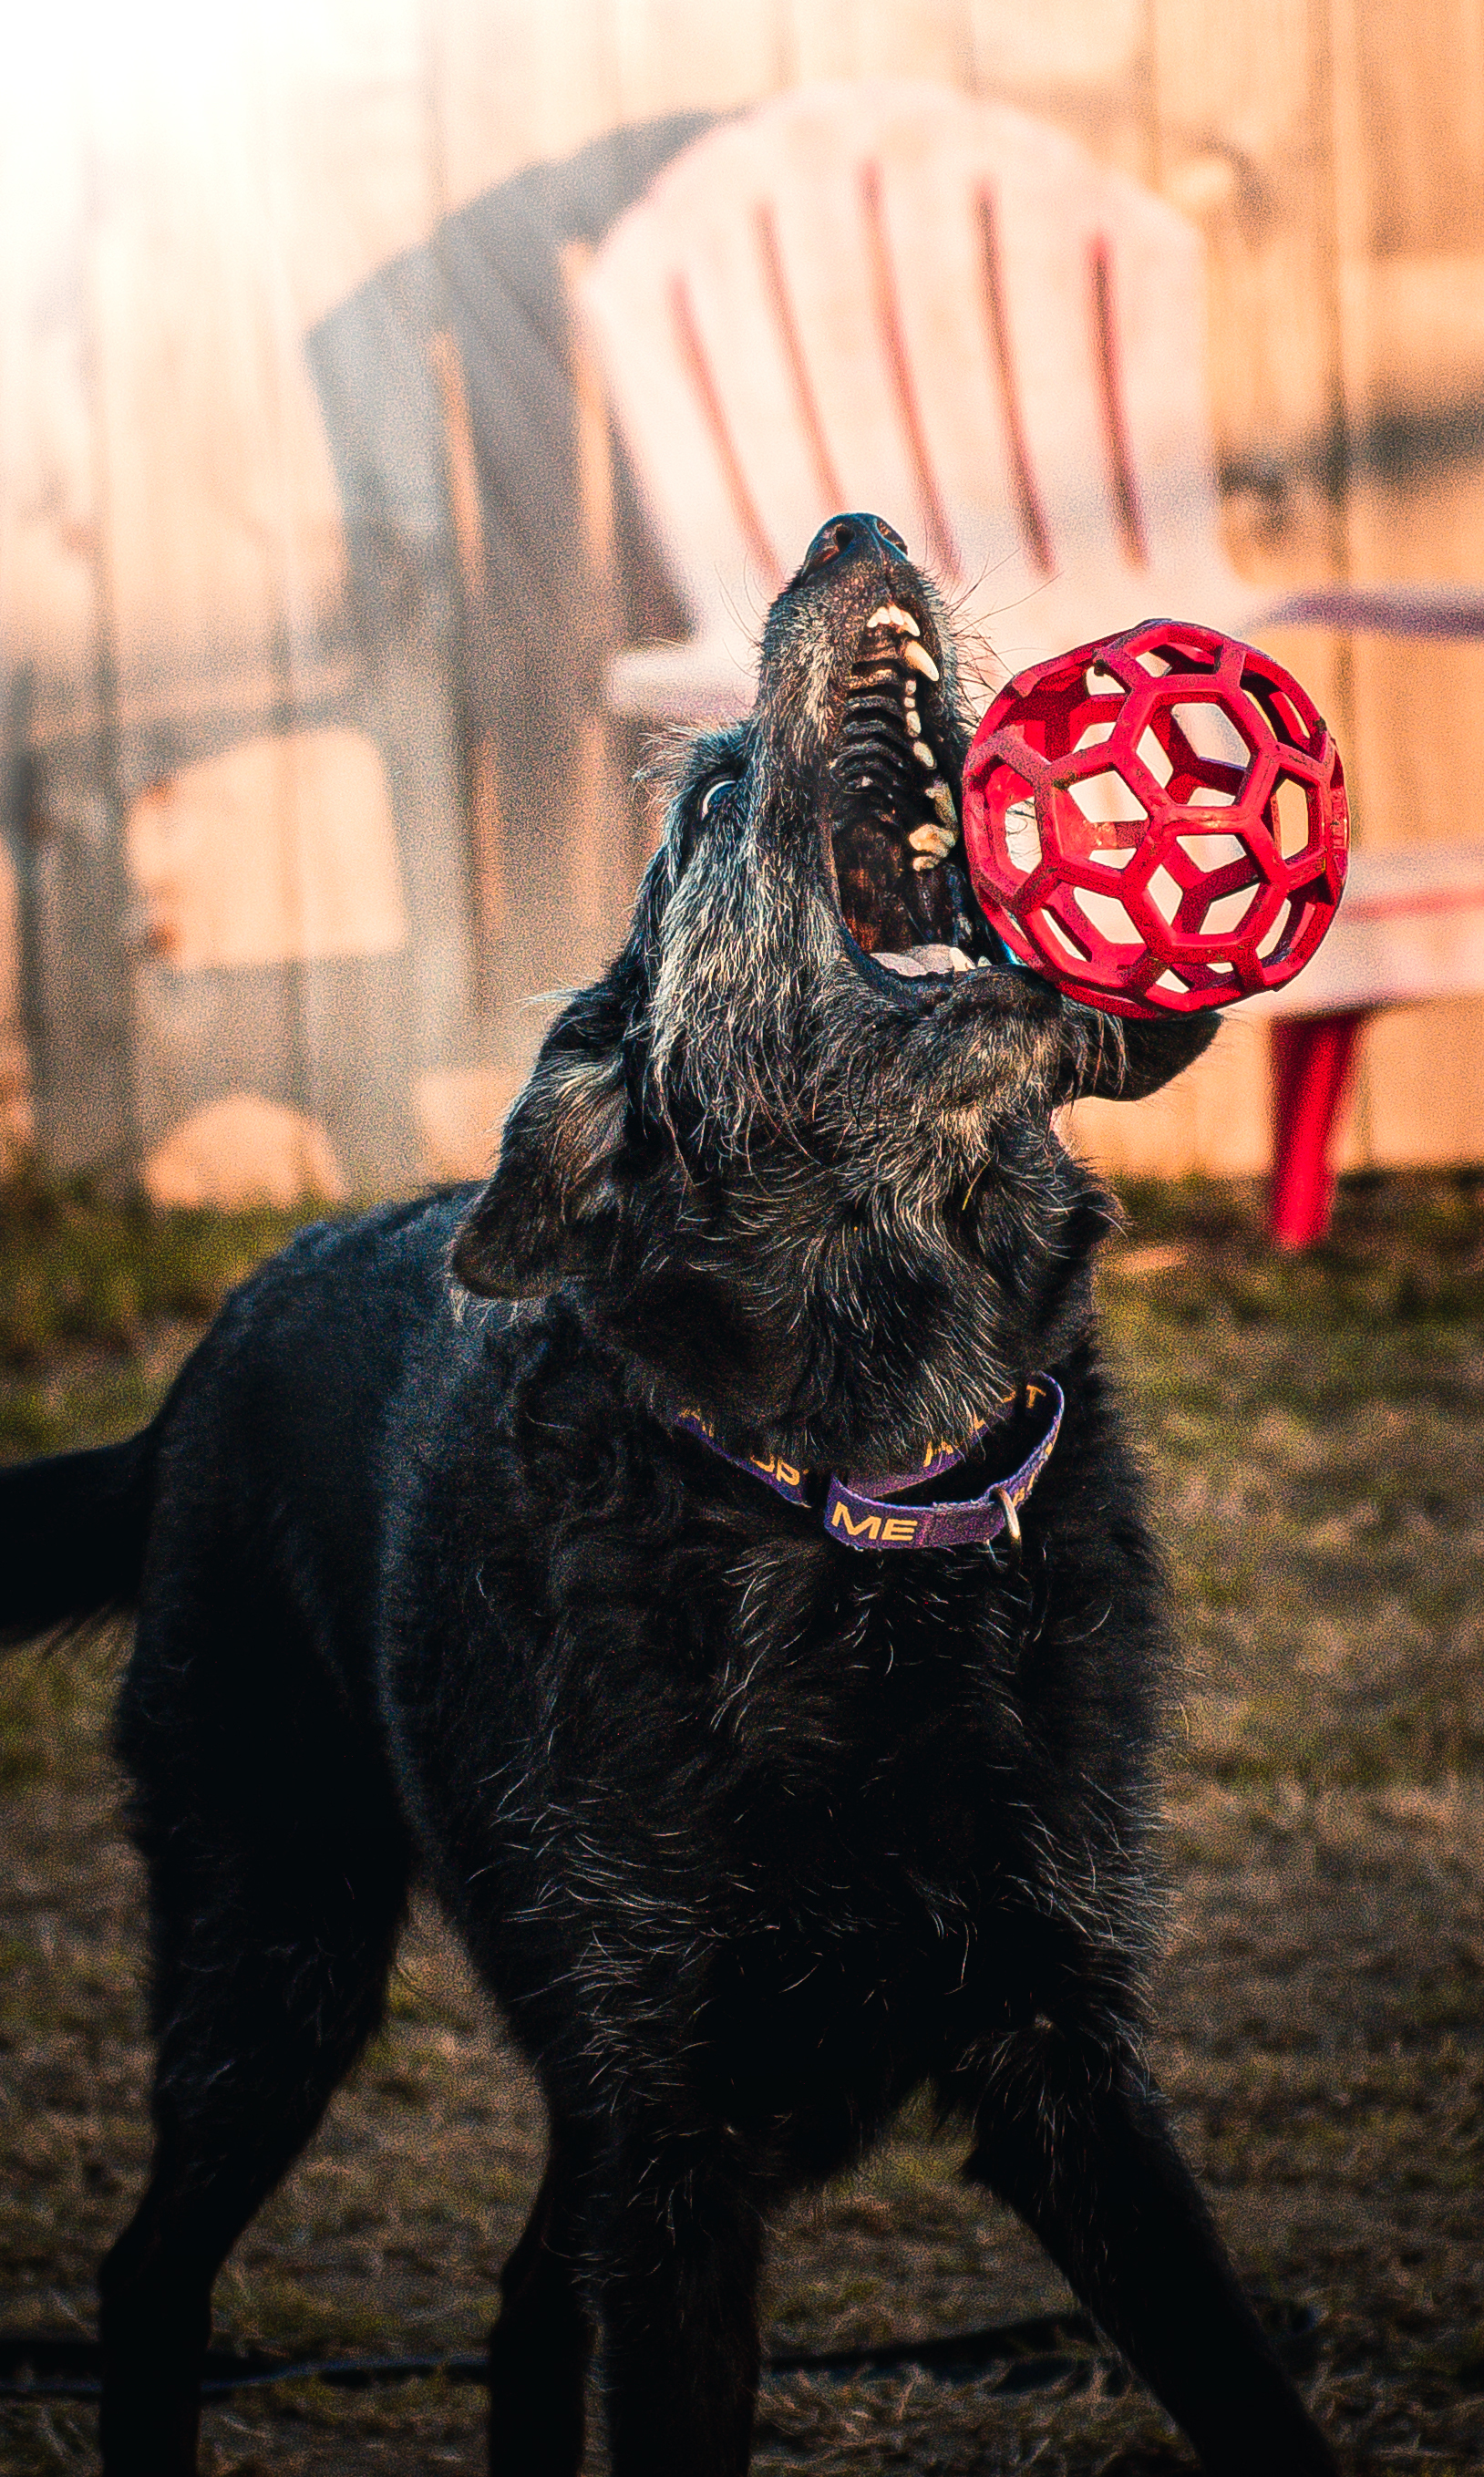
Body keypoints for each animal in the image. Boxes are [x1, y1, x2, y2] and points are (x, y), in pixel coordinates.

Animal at [0, 512, 1337, 2467]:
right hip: (275, 1943)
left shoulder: (1063, 2059)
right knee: (150, 2262)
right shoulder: (675, 2139)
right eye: (708, 802)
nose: (848, 532)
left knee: (517, 2293)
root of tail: (206, 1354)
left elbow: (1246, 2388)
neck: (863, 1494)